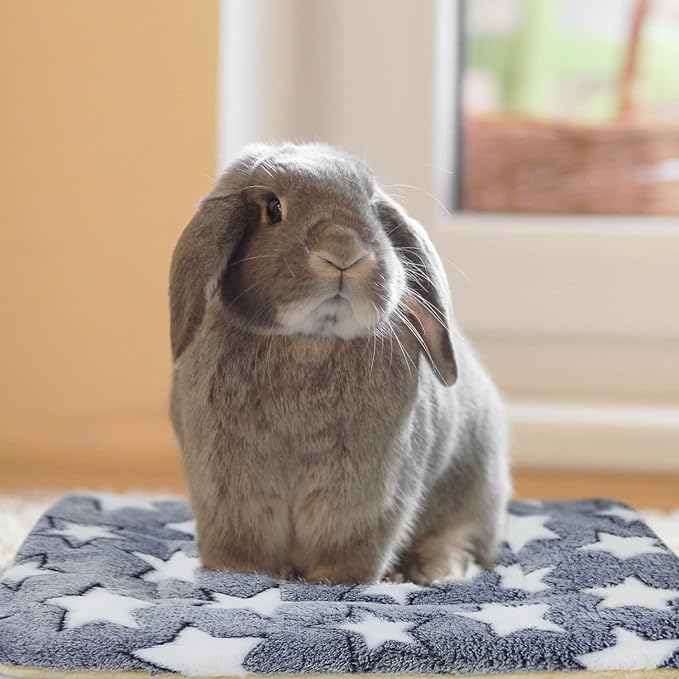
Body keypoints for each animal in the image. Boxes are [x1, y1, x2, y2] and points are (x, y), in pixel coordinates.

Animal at [169, 142, 510, 585]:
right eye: (273, 208)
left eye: (372, 207)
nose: (344, 253)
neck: (310, 341)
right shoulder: (228, 489)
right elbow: (242, 548)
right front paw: (238, 575)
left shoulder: (367, 495)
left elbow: (349, 550)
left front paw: (335, 583)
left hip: (475, 486)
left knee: (460, 538)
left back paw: (433, 571)